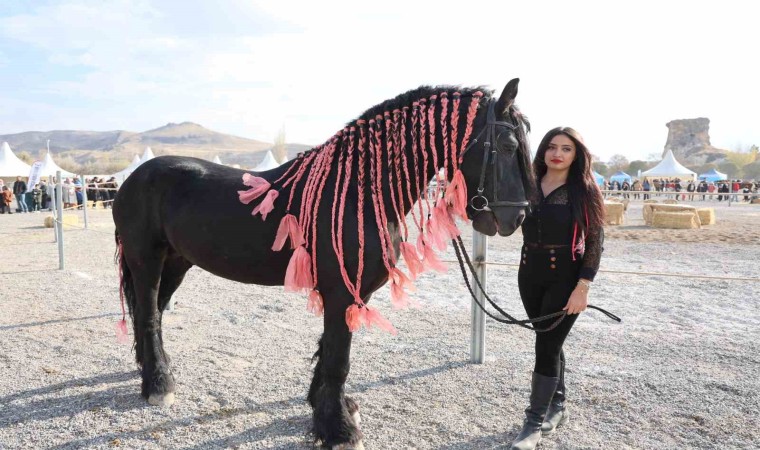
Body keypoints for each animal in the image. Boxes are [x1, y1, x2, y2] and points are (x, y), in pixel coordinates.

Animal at [112, 78, 535, 449]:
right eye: (507, 143)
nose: (517, 218)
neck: (359, 193)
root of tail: (132, 179)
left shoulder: (352, 294)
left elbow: (330, 353)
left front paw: (332, 408)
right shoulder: (340, 292)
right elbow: (337, 358)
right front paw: (339, 430)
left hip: (176, 263)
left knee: (153, 312)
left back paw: (152, 370)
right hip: (146, 261)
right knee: (148, 314)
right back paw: (158, 385)